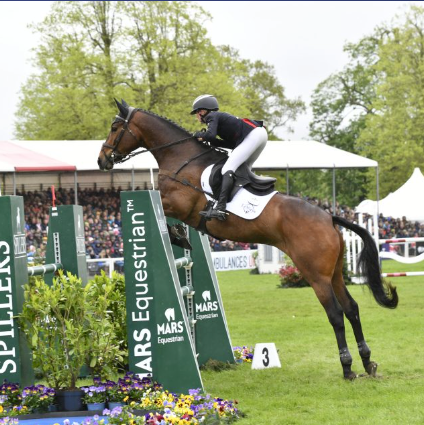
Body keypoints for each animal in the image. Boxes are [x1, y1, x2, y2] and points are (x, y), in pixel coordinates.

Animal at [98, 100, 398, 380]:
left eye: (114, 127)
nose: (102, 160)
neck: (181, 158)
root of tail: (330, 218)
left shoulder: (178, 204)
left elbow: (166, 214)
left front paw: (180, 236)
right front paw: (182, 237)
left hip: (316, 275)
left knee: (335, 314)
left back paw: (347, 367)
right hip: (334, 273)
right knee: (352, 309)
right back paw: (367, 362)